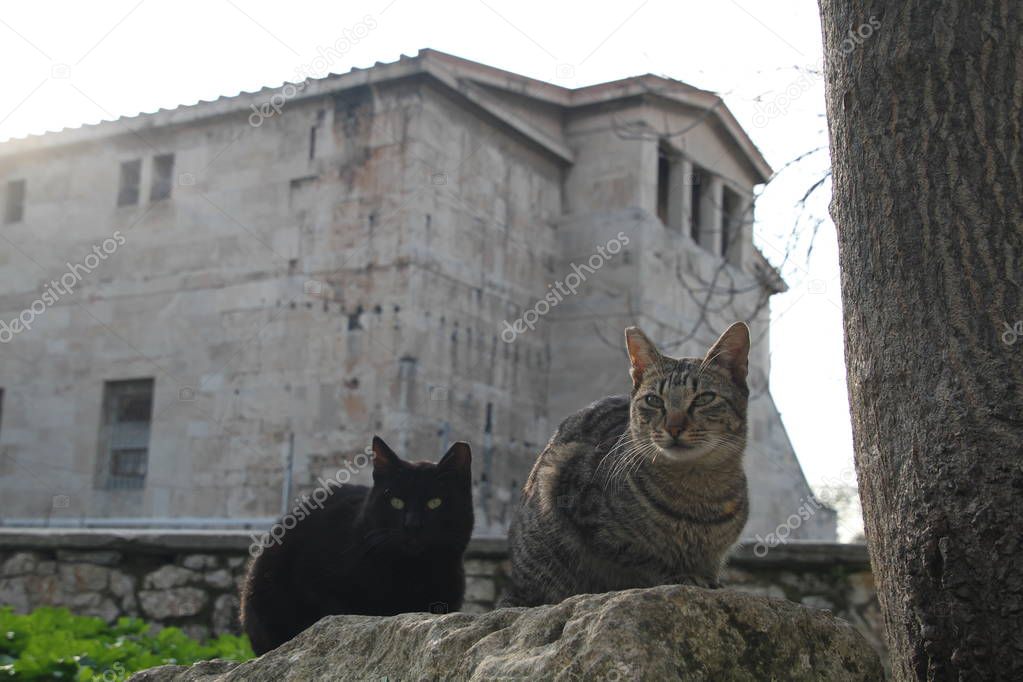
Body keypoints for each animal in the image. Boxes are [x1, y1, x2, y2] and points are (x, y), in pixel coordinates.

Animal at [505, 323, 752, 605]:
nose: (674, 427)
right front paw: (681, 574)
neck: (697, 490)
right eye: (654, 400)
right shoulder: (589, 518)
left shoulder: (716, 556)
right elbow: (644, 558)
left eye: (703, 398)